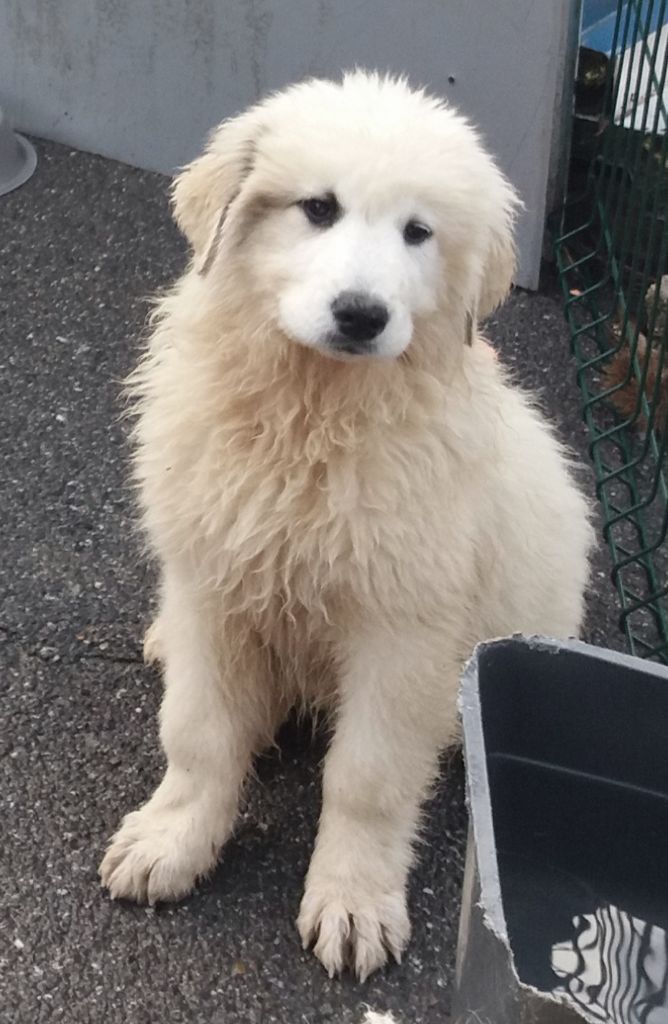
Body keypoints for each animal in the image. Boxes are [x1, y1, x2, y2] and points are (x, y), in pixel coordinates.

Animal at [97, 70, 590, 974]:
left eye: (418, 233)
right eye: (317, 209)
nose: (362, 314)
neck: (314, 412)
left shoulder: (402, 630)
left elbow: (367, 778)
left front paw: (353, 901)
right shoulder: (213, 580)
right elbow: (197, 732)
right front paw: (173, 838)